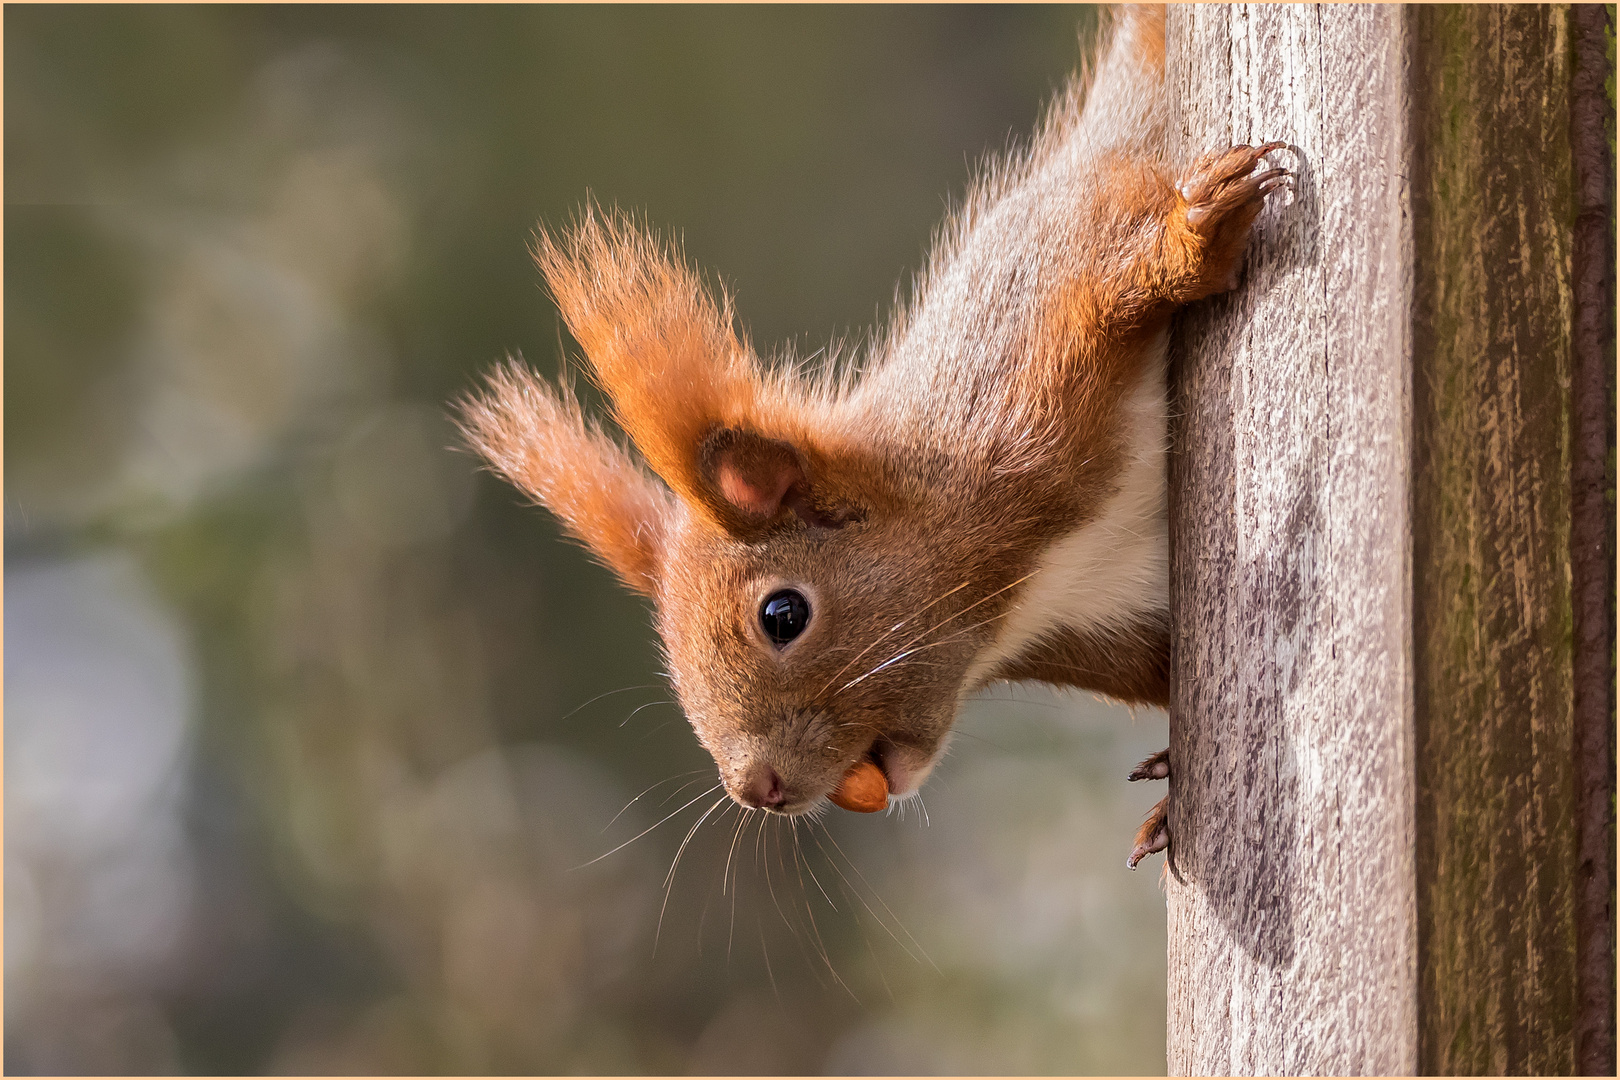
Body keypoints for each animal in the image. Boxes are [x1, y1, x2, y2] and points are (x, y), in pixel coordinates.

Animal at [460, 6, 1289, 867]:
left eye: (783, 615)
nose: (757, 789)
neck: (1029, 578)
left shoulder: (1031, 322)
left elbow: (1112, 252)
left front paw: (1197, 235)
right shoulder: (1110, 629)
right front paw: (1166, 799)